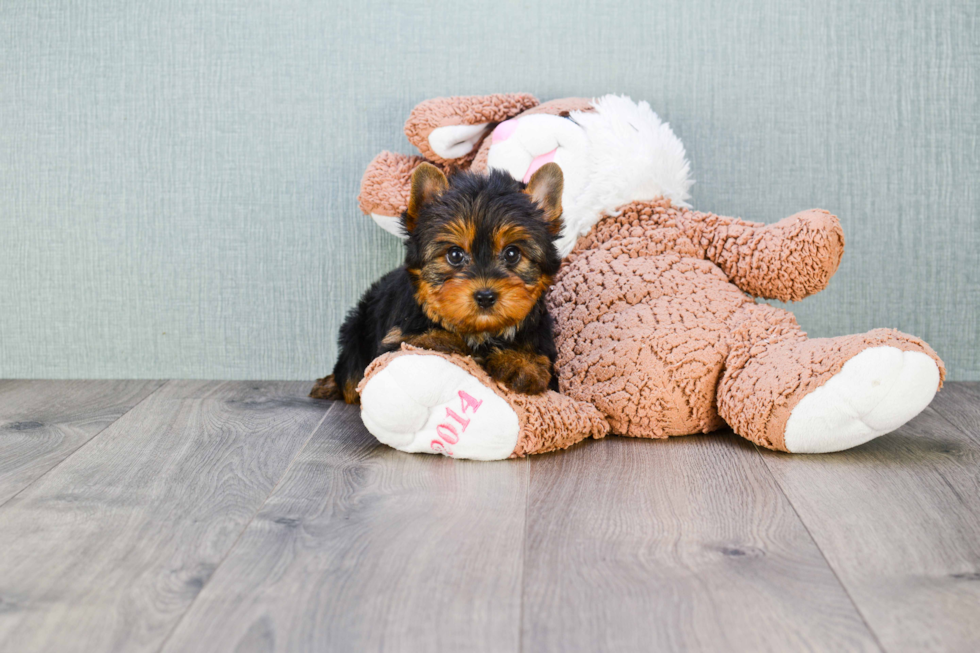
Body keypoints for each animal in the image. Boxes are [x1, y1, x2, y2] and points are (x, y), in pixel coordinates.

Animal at [310, 162, 564, 402]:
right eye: (455, 254)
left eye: (512, 254)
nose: (485, 296)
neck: (480, 332)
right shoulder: (394, 338)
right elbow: (417, 340)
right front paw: (444, 339)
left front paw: (522, 362)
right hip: (356, 333)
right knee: (350, 378)